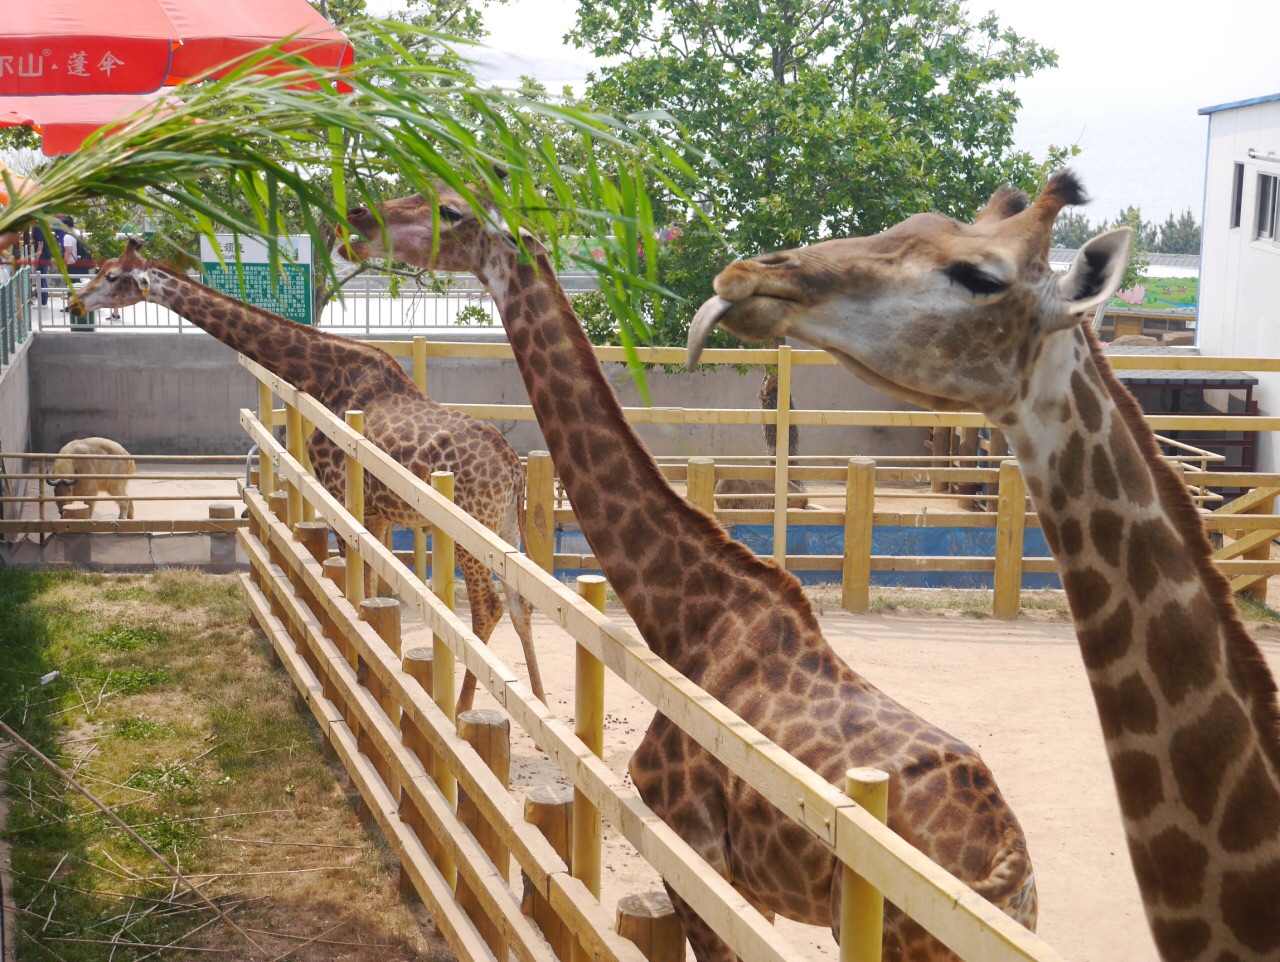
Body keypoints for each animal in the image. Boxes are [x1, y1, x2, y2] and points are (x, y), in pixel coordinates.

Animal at [72, 240, 545, 716]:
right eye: (100, 267)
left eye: (112, 276)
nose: (75, 302)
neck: (322, 376)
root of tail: (514, 468)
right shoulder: (378, 512)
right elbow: (371, 588)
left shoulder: (342, 494)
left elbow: (358, 590)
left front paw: (359, 676)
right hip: (505, 527)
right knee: (521, 604)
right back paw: (540, 704)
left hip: (473, 532)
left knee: (488, 608)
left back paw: (462, 709)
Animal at [348, 188, 1039, 961]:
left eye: (451, 210)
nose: (358, 222)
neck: (687, 620)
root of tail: (1009, 866)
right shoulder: (744, 889)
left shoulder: (697, 858)